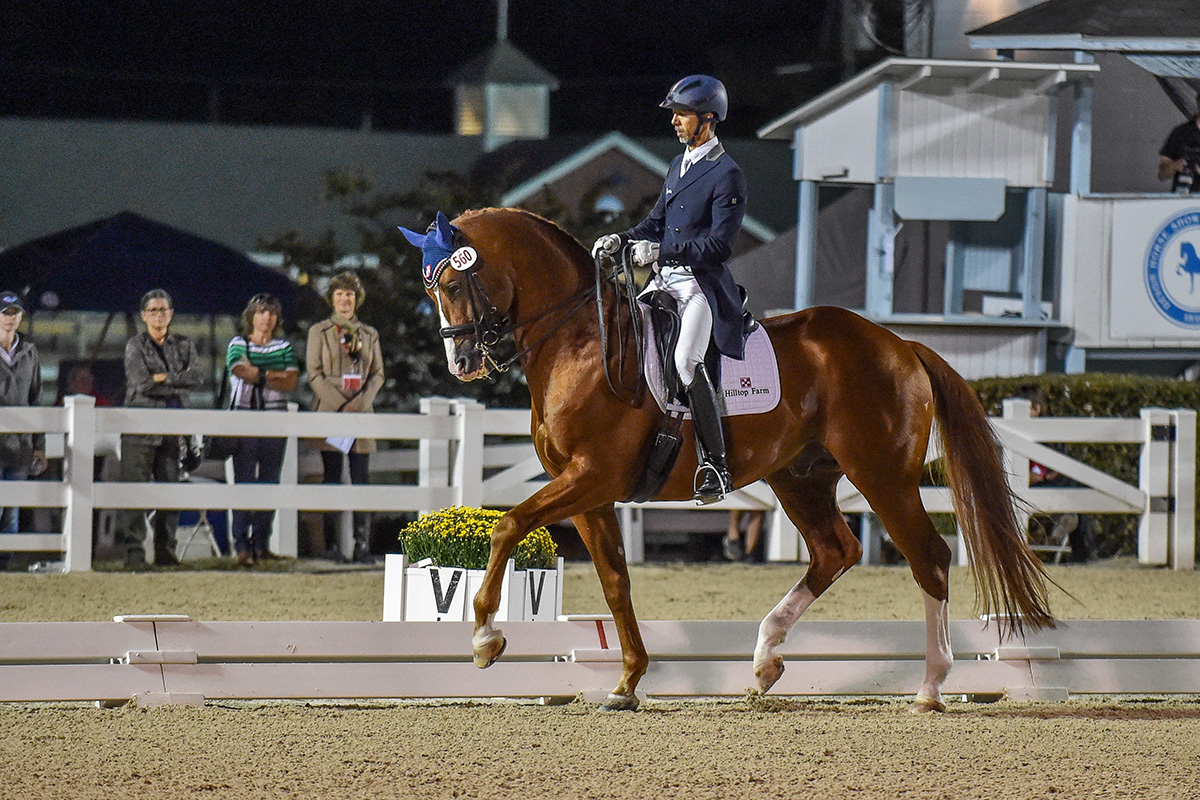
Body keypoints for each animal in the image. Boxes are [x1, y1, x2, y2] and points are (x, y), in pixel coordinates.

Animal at [412, 206, 1051, 714]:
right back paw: (765, 662)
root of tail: (900, 344)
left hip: (883, 475)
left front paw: (486, 638)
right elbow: (616, 582)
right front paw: (627, 682)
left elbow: (508, 526)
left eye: (458, 282)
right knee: (835, 551)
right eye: (430, 289)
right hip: (800, 476)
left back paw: (931, 686)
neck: (581, 343)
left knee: (930, 558)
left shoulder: (591, 477)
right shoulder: (589, 491)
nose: (463, 362)